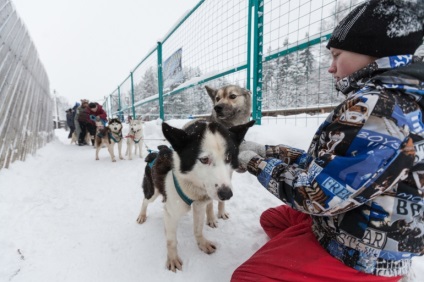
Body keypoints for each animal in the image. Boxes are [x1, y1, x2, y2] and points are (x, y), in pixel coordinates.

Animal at [137, 120, 253, 272]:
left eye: (228, 157)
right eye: (204, 159)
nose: (226, 194)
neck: (191, 184)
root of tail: (154, 154)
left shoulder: (199, 205)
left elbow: (198, 229)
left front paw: (202, 244)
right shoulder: (171, 214)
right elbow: (171, 240)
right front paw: (172, 258)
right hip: (152, 192)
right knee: (145, 201)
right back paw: (142, 215)